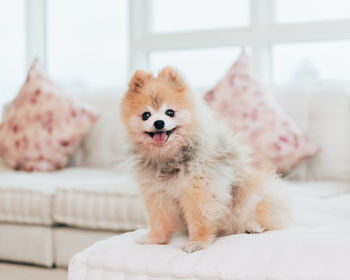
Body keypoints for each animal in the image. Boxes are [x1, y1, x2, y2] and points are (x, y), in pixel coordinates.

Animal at [121, 66, 290, 253]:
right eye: (146, 115)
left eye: (170, 112)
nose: (158, 123)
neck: (170, 157)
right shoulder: (157, 194)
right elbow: (159, 220)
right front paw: (155, 239)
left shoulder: (199, 191)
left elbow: (199, 220)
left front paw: (197, 242)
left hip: (252, 194)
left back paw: (253, 226)